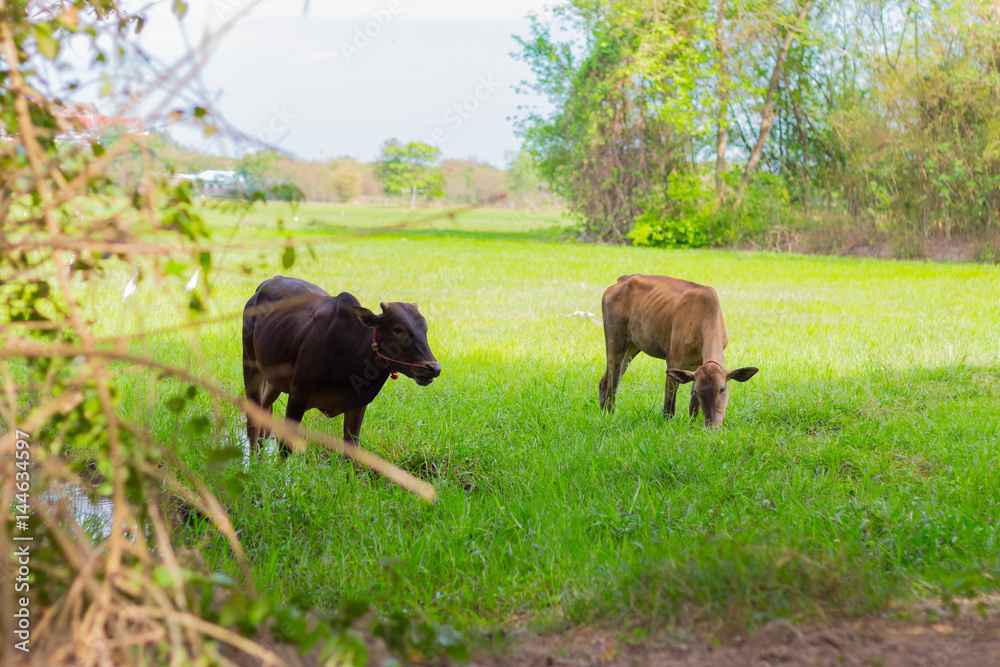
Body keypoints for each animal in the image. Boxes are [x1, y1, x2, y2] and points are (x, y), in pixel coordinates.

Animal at [242, 276, 441, 454]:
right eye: (398, 329)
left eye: (425, 329)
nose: (434, 368)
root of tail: (264, 284)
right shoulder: (297, 396)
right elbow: (285, 448)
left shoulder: (357, 406)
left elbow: (351, 452)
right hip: (251, 366)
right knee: (252, 422)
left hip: (274, 379)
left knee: (265, 412)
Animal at [598, 274, 758, 427]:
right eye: (698, 392)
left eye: (722, 389)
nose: (712, 426)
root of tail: (620, 280)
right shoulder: (673, 358)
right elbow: (669, 407)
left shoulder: (696, 367)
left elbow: (693, 407)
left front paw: (692, 428)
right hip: (615, 337)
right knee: (611, 383)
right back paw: (609, 417)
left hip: (633, 345)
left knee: (604, 380)